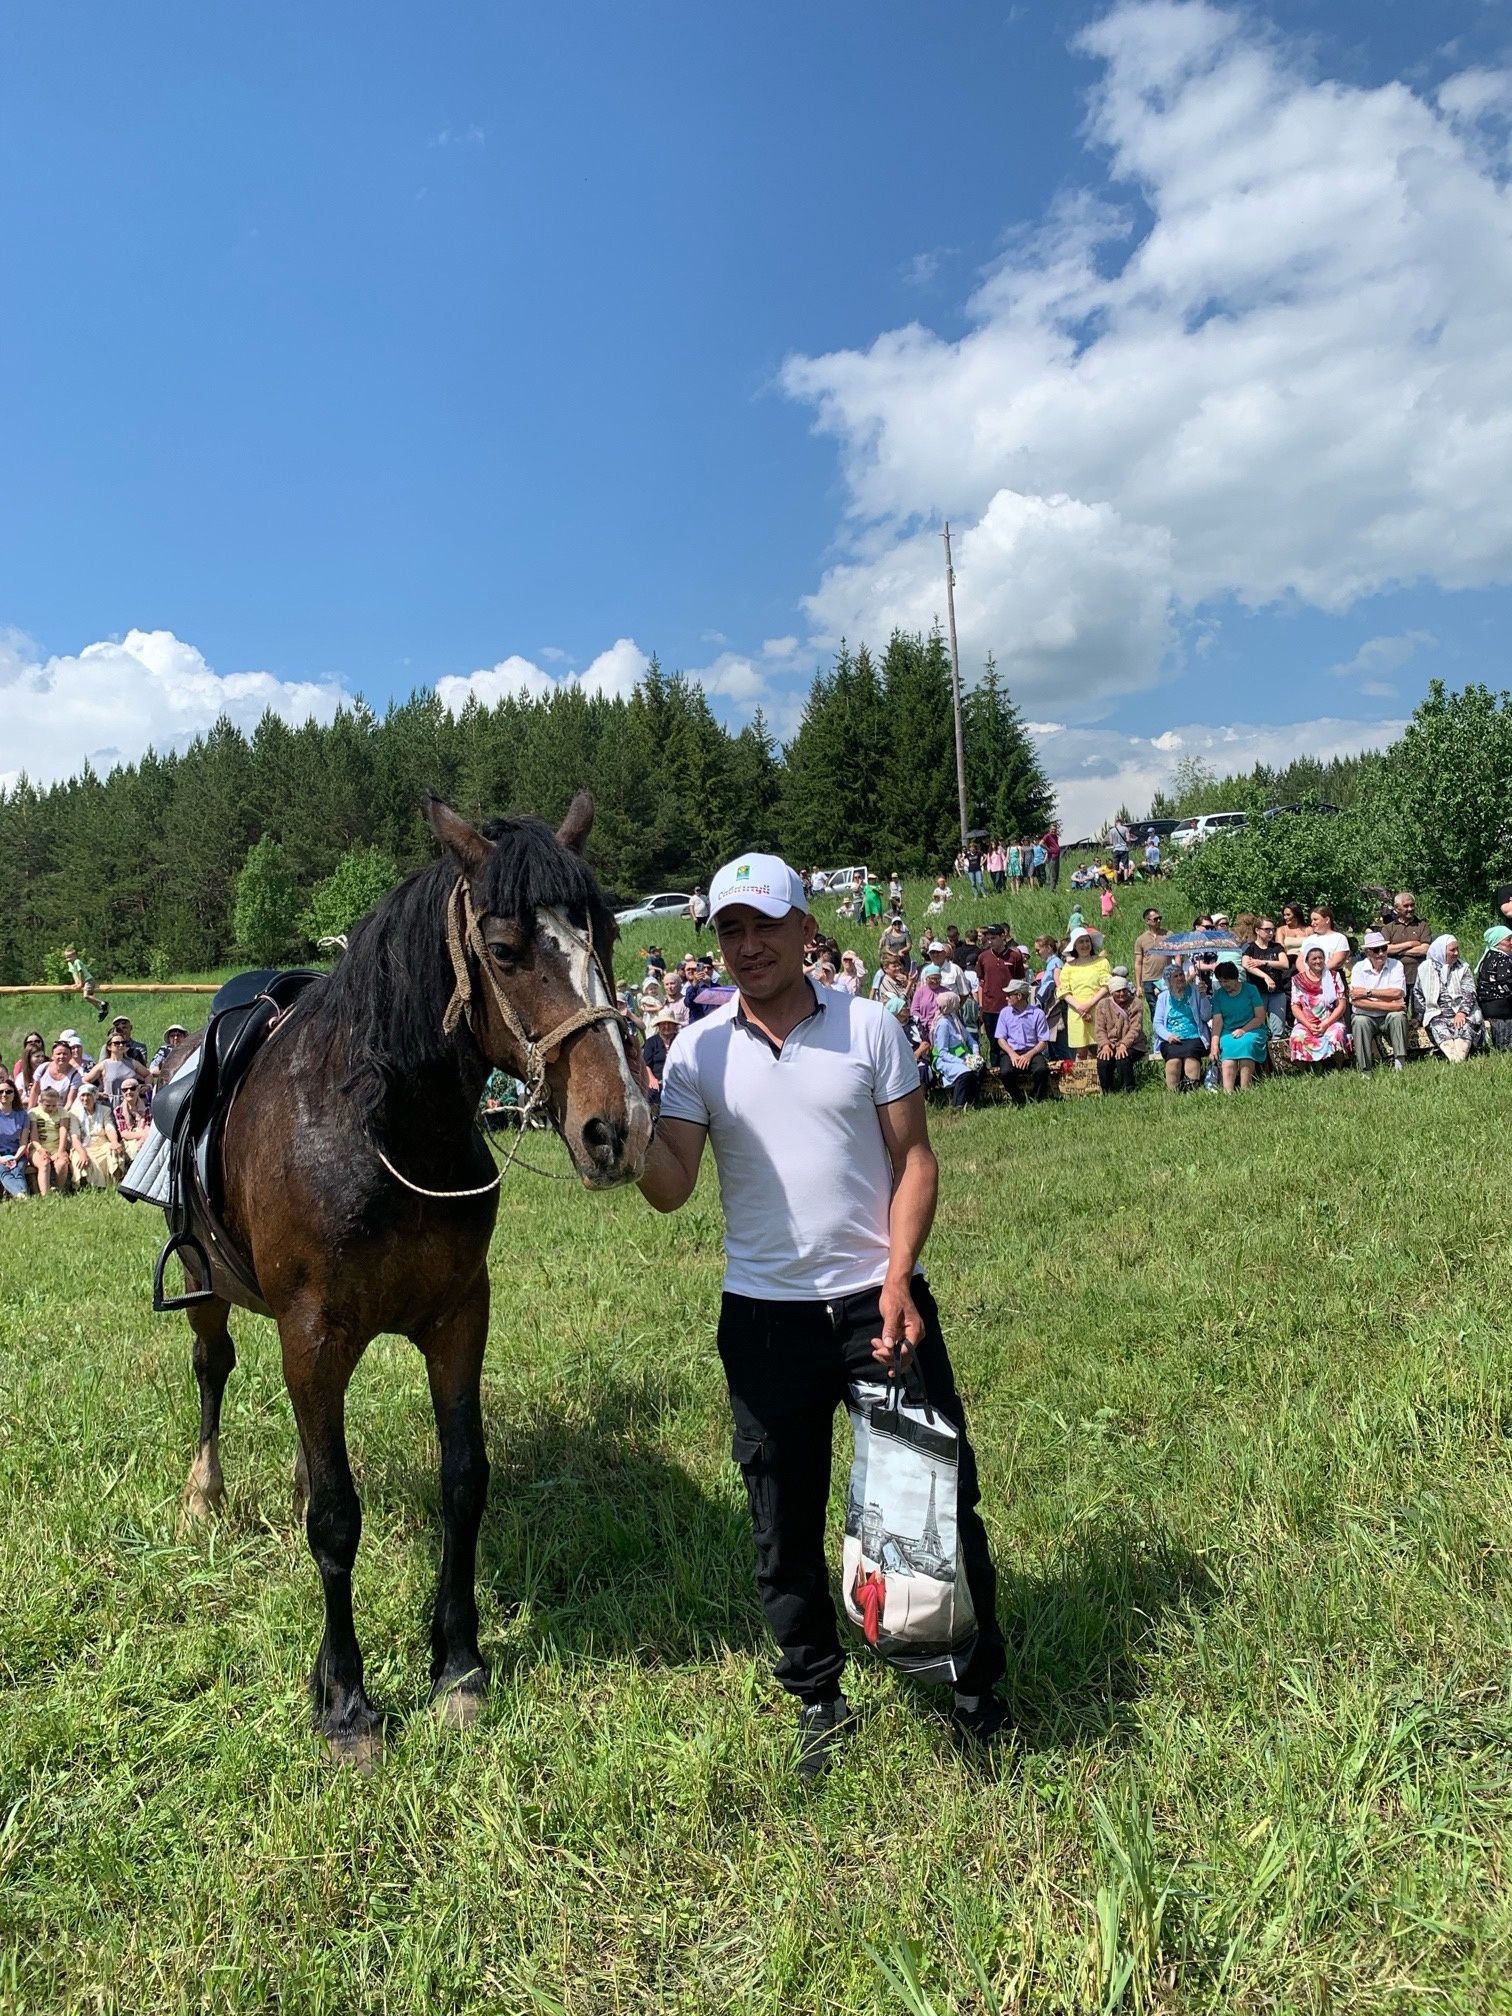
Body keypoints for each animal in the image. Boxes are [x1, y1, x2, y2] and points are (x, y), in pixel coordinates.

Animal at [177, 786, 653, 1766]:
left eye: (607, 938)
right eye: (505, 951)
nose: (616, 1128)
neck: (385, 1127)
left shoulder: (458, 1318)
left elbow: (462, 1481)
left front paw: (458, 1664)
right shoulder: (314, 1332)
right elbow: (336, 1516)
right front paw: (346, 1700)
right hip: (206, 1288)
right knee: (213, 1369)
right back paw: (204, 1496)